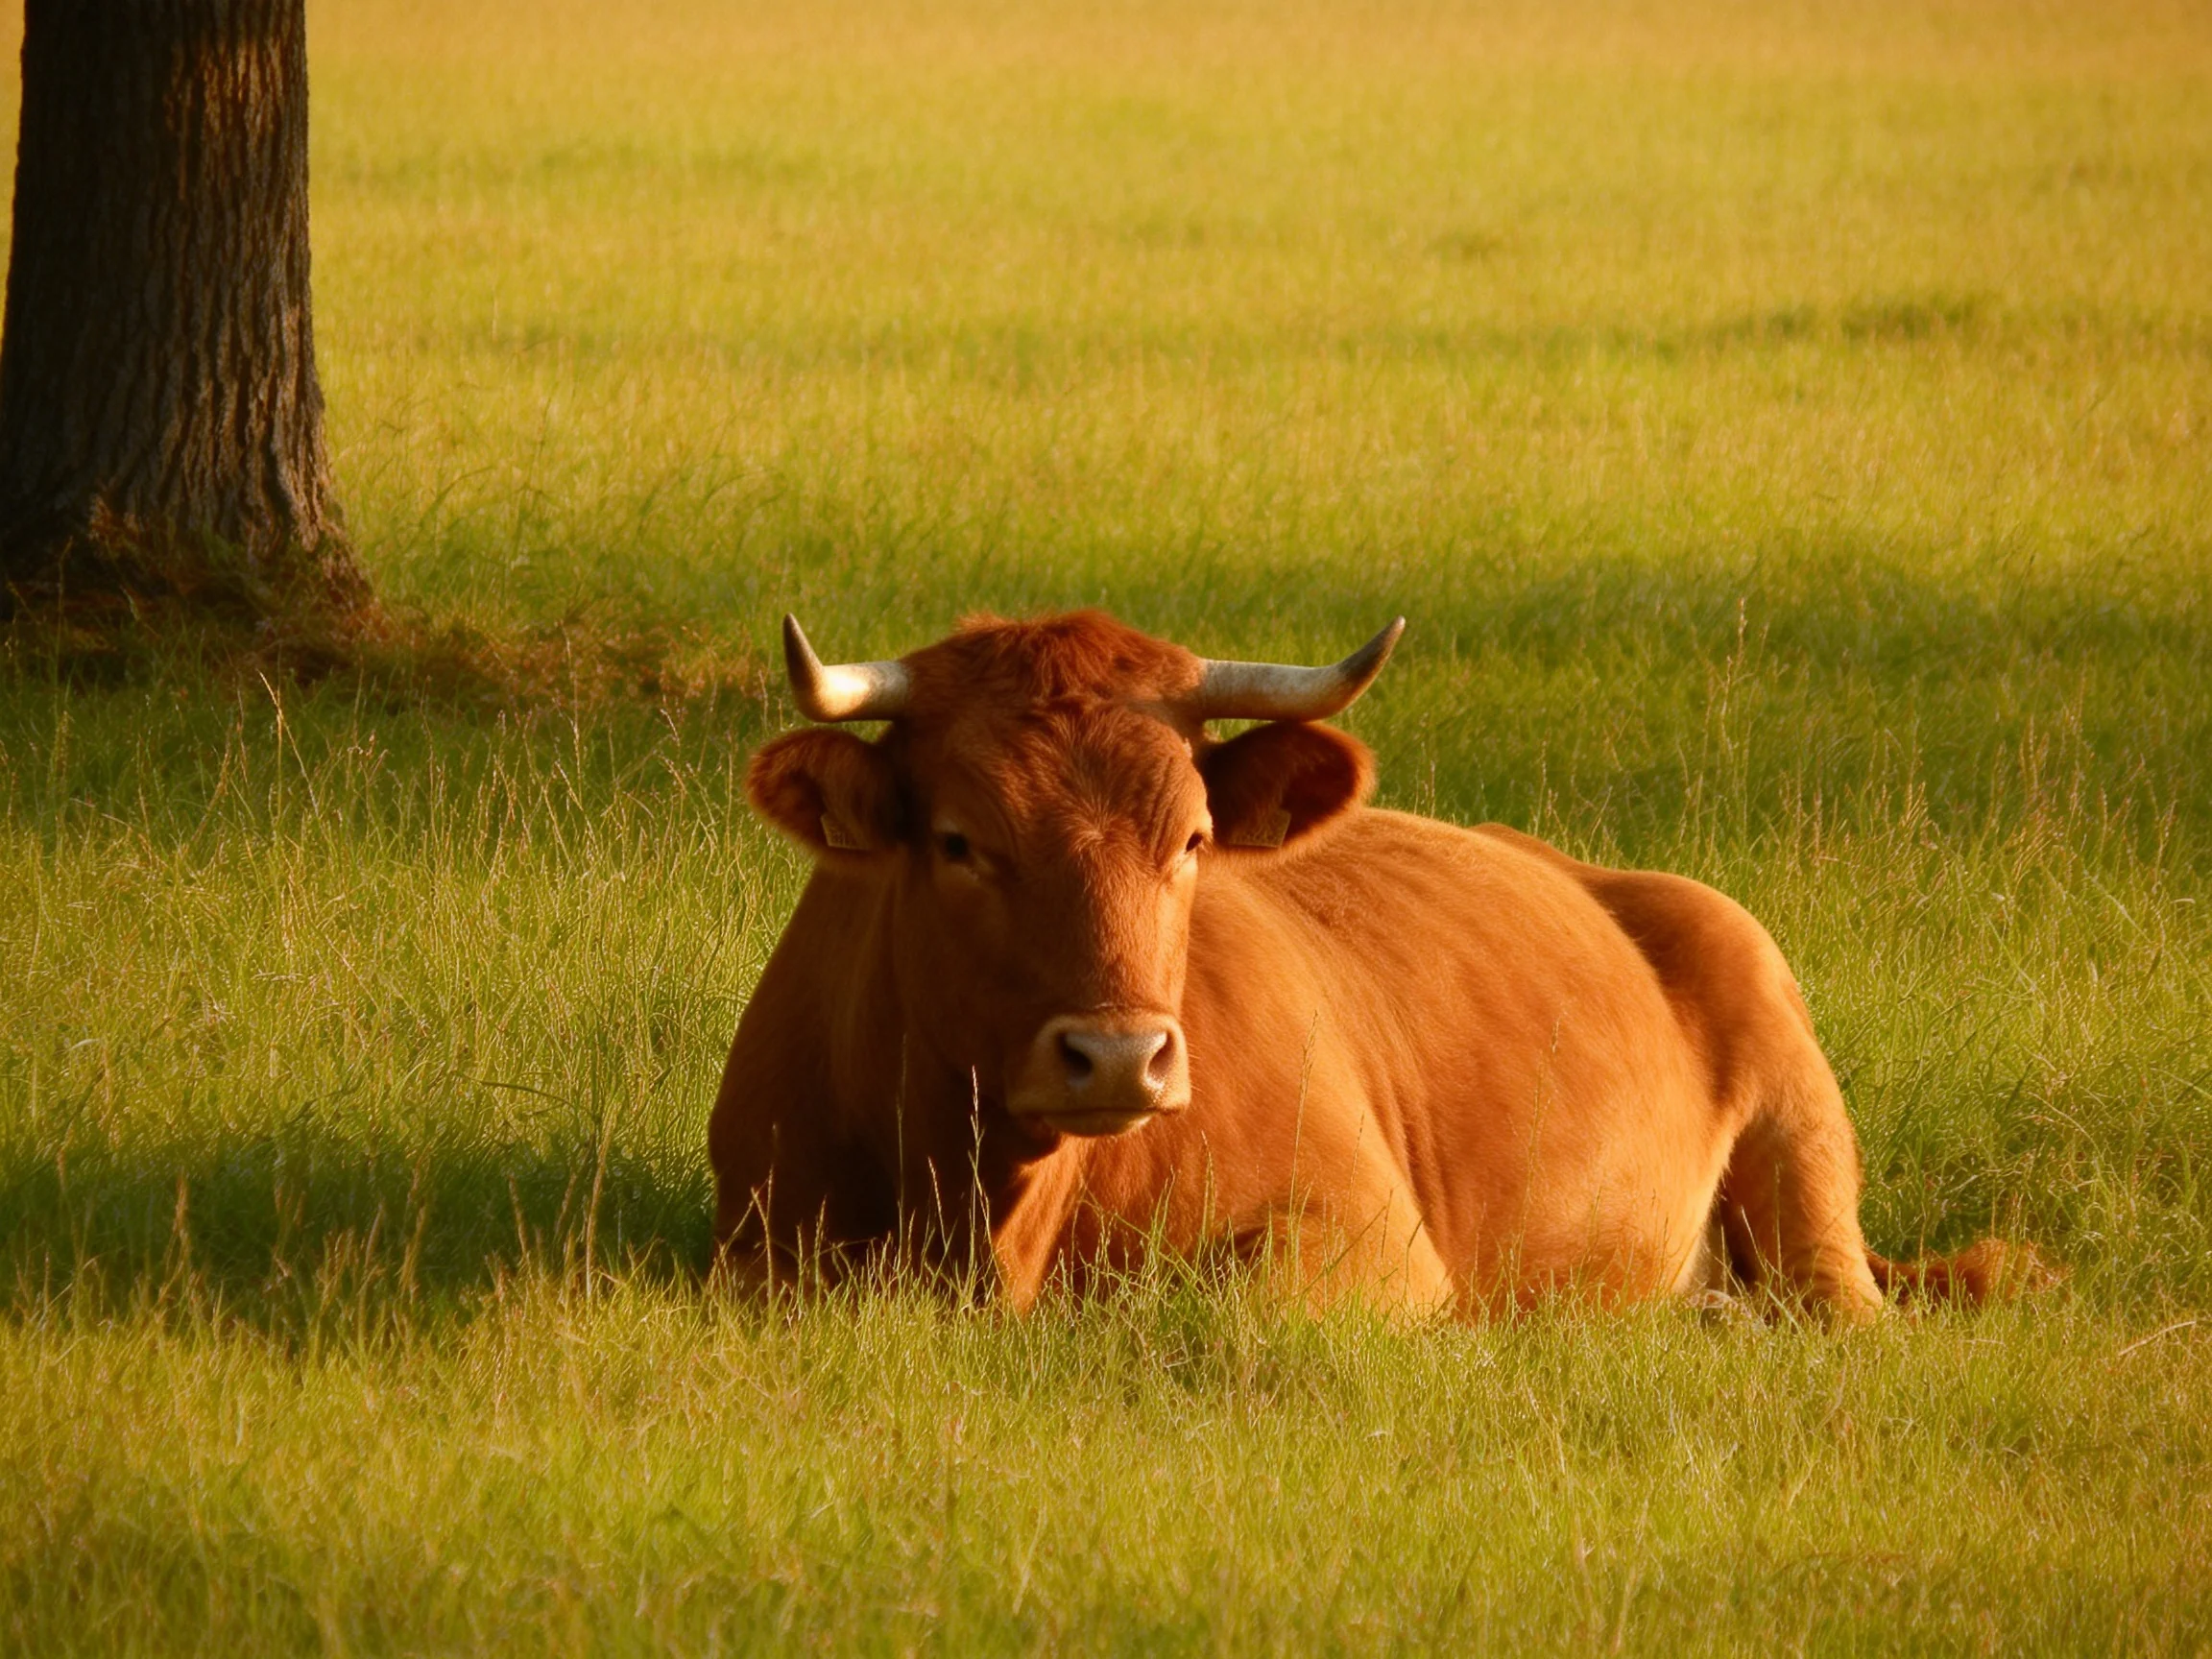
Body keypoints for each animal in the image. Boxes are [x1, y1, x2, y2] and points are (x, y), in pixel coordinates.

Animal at [709, 609, 2041, 1320]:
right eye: (958, 841)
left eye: (1192, 838)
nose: (1120, 1057)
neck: (1000, 1214)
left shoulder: (1375, 1243)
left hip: (1804, 1153)